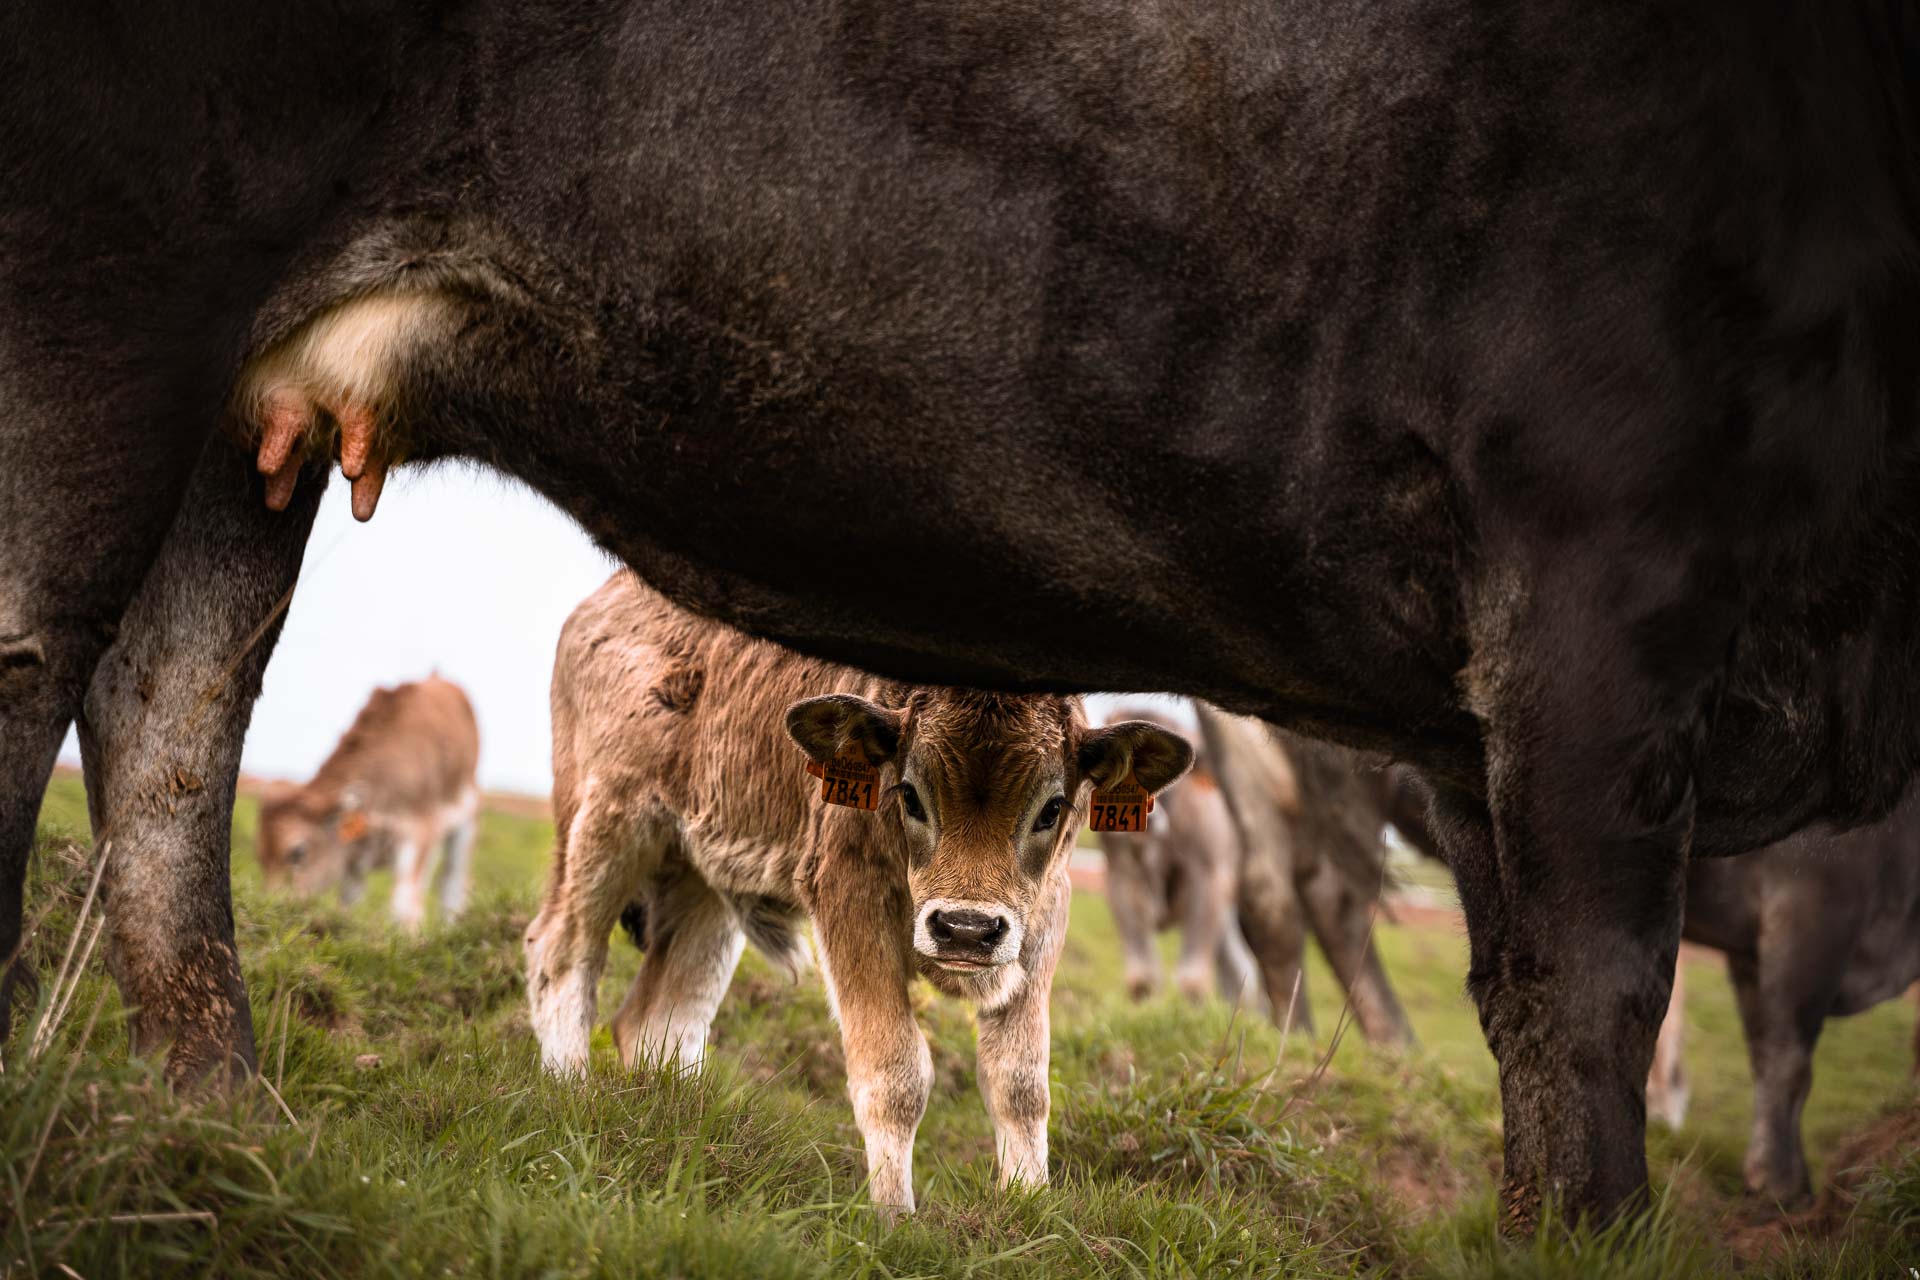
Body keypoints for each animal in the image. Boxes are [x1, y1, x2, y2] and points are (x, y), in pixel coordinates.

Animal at [254, 676, 480, 929]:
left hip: (466, 817)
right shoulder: (352, 859)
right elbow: (349, 904)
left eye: (298, 852)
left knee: (452, 882)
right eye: (260, 856)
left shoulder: (419, 832)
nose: (273, 907)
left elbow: (404, 907)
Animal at [523, 572, 1192, 1215]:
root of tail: (602, 605)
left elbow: (1020, 1082)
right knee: (562, 952)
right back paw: (571, 1097)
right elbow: (895, 1074)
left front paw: (1027, 1206)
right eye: (910, 795)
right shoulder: (850, 901)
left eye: (1052, 808)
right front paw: (894, 1217)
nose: (965, 930)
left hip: (704, 886)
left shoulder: (1042, 921)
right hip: (609, 826)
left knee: (663, 1019)